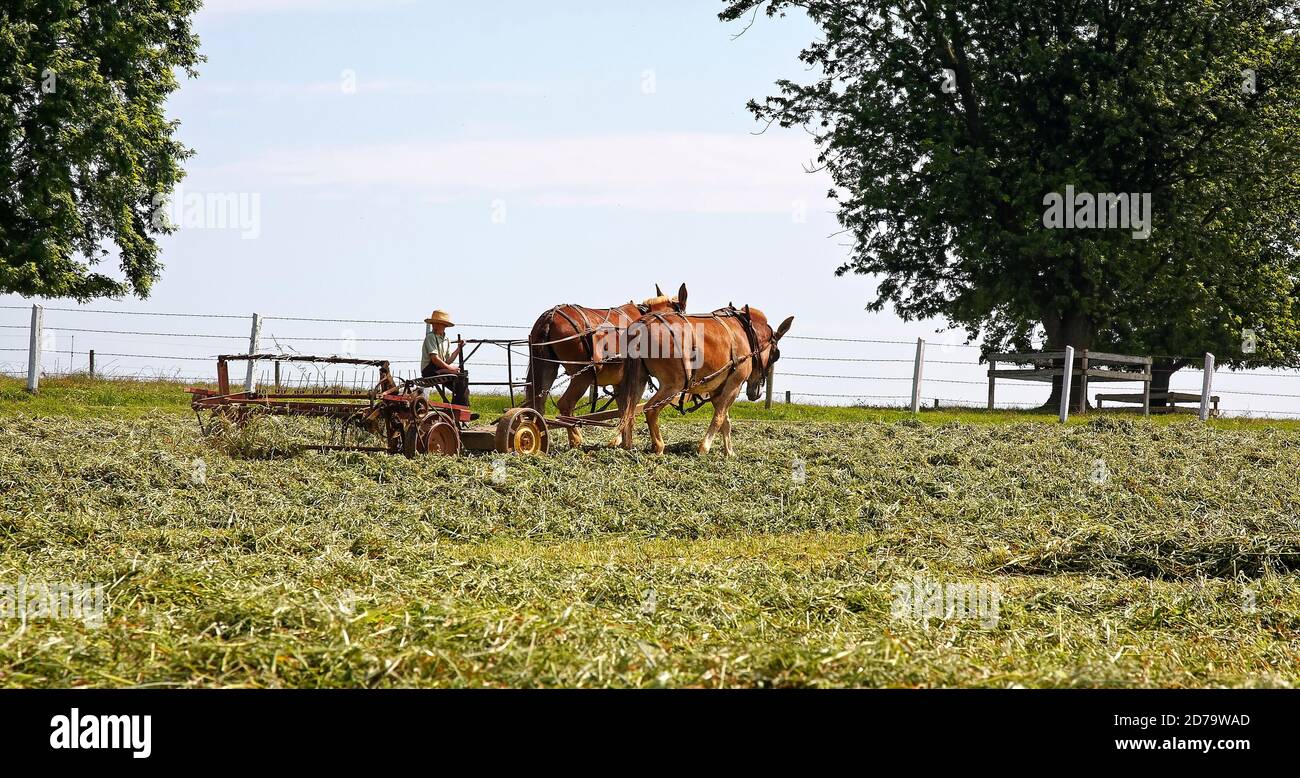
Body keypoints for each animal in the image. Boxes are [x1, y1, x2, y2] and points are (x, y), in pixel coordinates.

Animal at [527, 283, 691, 447]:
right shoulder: (636, 379)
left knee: (538, 405)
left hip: (546, 367)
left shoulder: (619, 382)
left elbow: (622, 409)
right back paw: (576, 440)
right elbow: (630, 410)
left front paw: (618, 439)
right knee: (565, 404)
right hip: (583, 375)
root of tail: (551, 316)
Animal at [618, 307, 790, 457]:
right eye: (775, 355)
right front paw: (704, 448)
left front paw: (729, 452)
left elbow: (725, 420)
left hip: (639, 379)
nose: (756, 393)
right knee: (650, 410)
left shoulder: (716, 388)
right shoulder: (734, 384)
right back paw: (658, 446)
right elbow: (719, 417)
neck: (747, 333)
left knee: (629, 410)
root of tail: (644, 323)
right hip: (674, 385)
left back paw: (628, 445)